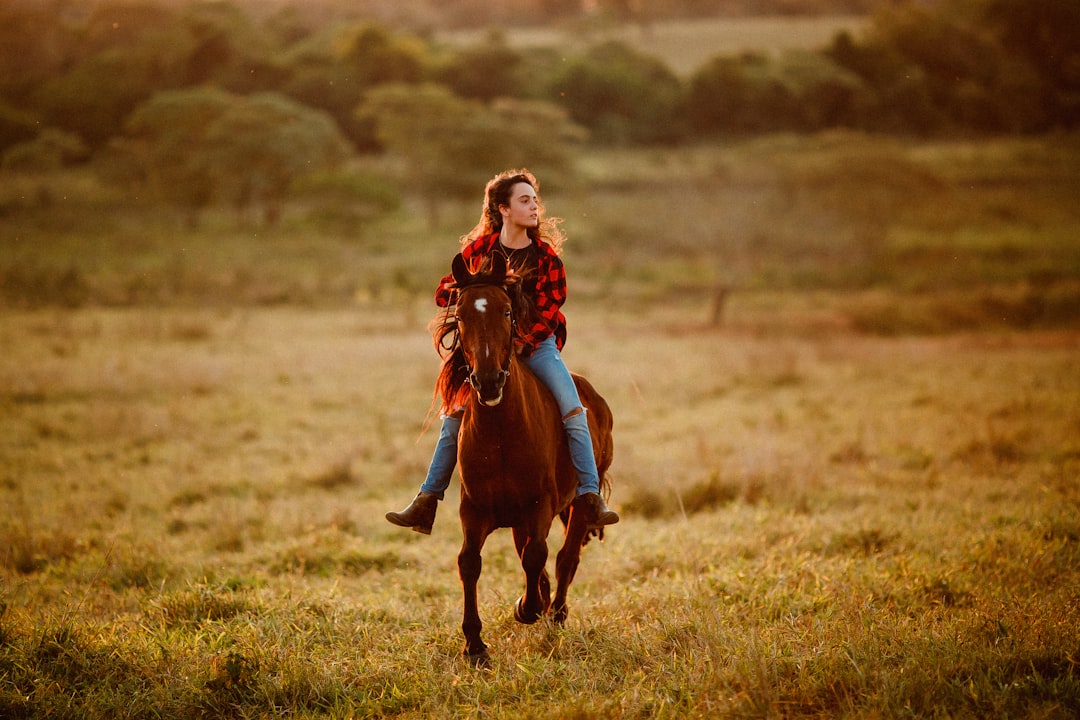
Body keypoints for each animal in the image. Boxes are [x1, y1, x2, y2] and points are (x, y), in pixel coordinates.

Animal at [436, 252, 609, 664]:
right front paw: (474, 645)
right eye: (460, 314)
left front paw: (527, 609)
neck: (501, 433)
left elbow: (537, 556)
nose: (488, 381)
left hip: (579, 504)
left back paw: (556, 614)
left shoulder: (539, 505)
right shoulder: (475, 510)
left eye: (507, 311)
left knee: (565, 558)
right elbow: (470, 563)